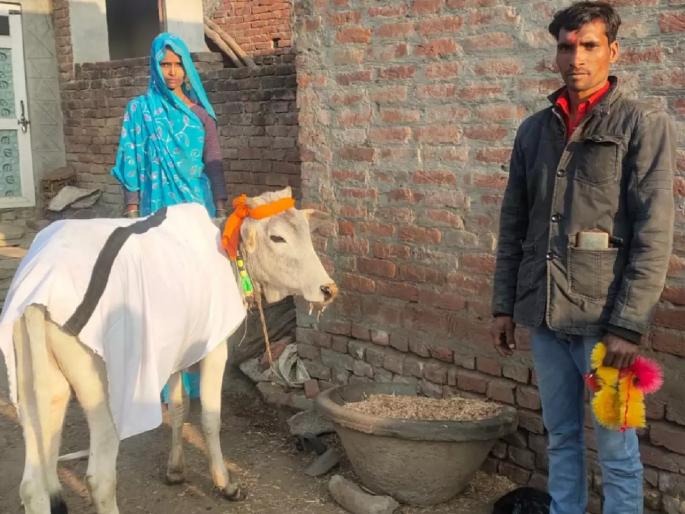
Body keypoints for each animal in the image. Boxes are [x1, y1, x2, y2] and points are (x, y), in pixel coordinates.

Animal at [0, 187, 337, 514]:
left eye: (305, 232)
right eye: (277, 237)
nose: (328, 289)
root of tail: (41, 286)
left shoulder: (177, 352)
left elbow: (178, 408)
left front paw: (175, 471)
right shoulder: (214, 349)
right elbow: (210, 418)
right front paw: (225, 484)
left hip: (39, 387)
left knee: (33, 484)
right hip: (101, 392)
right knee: (99, 479)